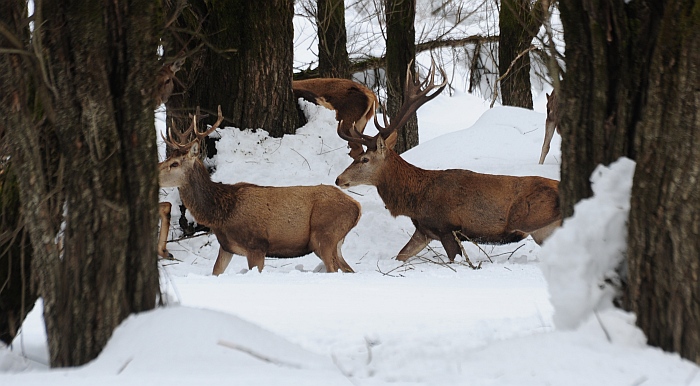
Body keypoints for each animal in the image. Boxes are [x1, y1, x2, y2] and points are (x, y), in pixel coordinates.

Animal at [157, 105, 360, 274]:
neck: (222, 213)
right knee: (348, 270)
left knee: (334, 270)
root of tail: (357, 207)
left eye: (174, 164)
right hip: (336, 242)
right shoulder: (226, 247)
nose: (154, 171)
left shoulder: (256, 246)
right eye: (169, 159)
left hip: (325, 235)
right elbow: (215, 272)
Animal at [334, 61, 564, 262]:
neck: (416, 198)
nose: (338, 179)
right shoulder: (424, 230)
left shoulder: (447, 228)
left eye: (365, 159)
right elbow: (401, 256)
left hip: (538, 221)